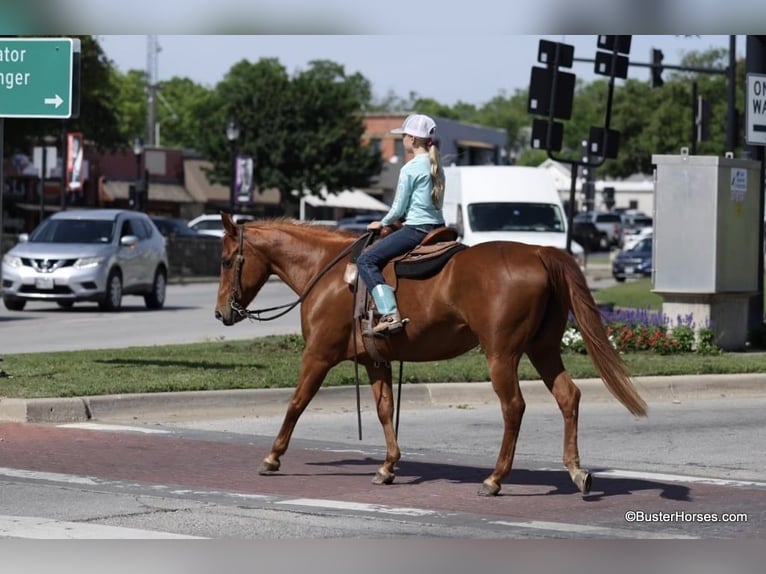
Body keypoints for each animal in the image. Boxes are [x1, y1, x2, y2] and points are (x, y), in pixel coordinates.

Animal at [214, 216, 648, 500]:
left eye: (225, 260)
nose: (221, 313)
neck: (327, 272)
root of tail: (540, 253)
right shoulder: (374, 361)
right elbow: (384, 409)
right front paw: (388, 467)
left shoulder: (318, 355)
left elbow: (296, 403)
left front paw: (272, 457)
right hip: (543, 349)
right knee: (568, 397)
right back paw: (576, 472)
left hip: (502, 354)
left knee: (514, 407)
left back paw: (495, 479)